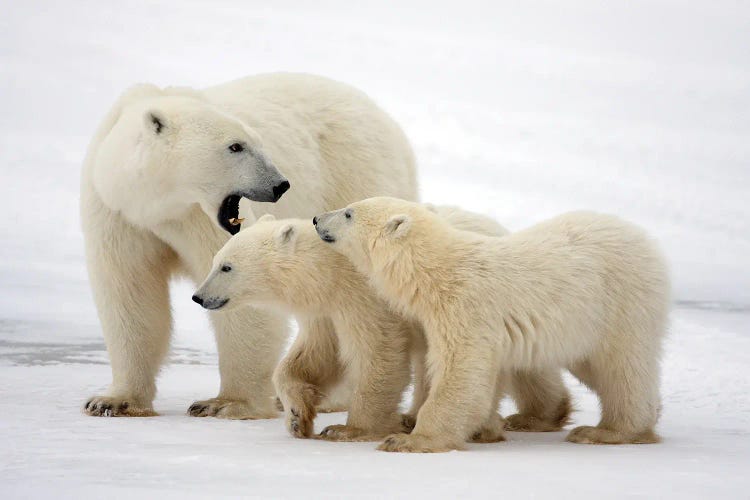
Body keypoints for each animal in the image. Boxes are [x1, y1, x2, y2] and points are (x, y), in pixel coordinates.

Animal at [83, 73, 424, 418]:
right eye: (236, 146)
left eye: (256, 141)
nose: (280, 184)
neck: (155, 207)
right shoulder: (116, 216)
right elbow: (130, 294)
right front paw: (112, 401)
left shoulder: (200, 219)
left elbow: (245, 291)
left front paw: (225, 403)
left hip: (351, 176)